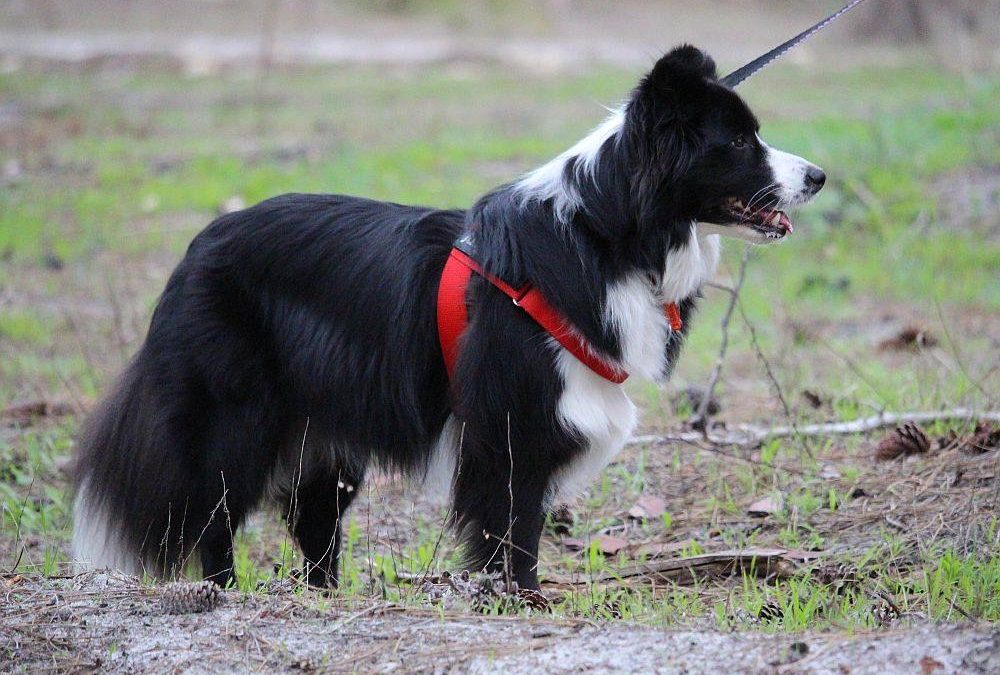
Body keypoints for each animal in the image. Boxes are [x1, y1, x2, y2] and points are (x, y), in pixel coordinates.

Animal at [74, 45, 824, 588]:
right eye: (739, 142)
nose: (818, 176)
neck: (607, 233)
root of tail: (194, 251)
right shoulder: (511, 418)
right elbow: (511, 528)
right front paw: (518, 601)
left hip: (327, 428)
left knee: (314, 519)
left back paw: (327, 596)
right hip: (237, 408)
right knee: (216, 511)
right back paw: (224, 592)